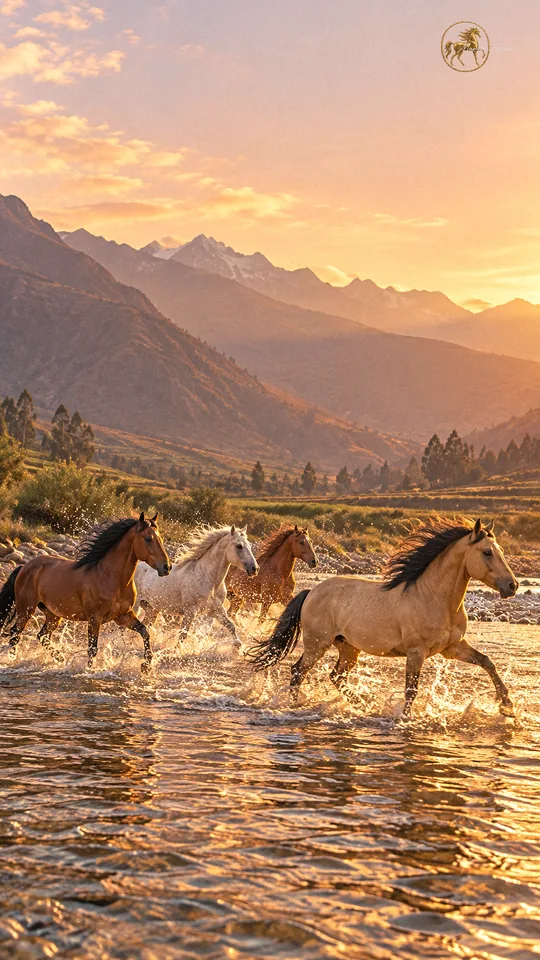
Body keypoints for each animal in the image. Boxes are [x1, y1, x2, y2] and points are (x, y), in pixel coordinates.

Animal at [0, 512, 171, 673]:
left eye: (161, 538)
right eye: (148, 538)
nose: (166, 567)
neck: (109, 577)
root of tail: (24, 567)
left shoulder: (124, 616)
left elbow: (145, 632)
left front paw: (146, 666)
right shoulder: (95, 618)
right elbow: (92, 648)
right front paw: (89, 670)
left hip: (52, 614)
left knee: (42, 635)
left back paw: (60, 659)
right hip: (26, 609)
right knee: (15, 633)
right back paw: (14, 659)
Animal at [249, 518, 518, 717]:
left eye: (501, 551)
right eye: (487, 552)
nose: (512, 586)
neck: (433, 598)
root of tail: (311, 592)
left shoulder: (453, 648)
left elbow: (487, 662)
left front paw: (507, 706)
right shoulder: (416, 652)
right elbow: (411, 690)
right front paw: (404, 719)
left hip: (348, 648)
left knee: (336, 676)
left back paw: (364, 705)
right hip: (317, 644)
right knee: (297, 671)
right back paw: (296, 705)